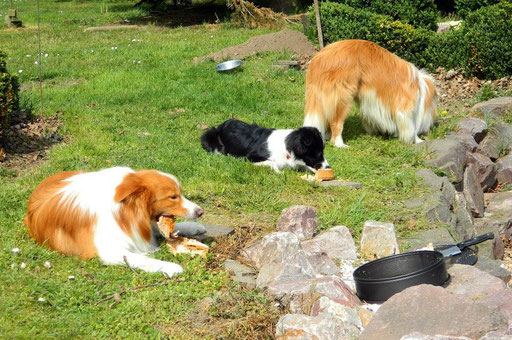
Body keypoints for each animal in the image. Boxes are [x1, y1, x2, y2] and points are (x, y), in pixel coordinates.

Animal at [24, 167, 203, 276]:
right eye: (173, 197)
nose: (200, 212)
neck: (125, 212)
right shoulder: (108, 250)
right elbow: (143, 259)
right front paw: (171, 266)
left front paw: (193, 227)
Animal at [200, 119, 328, 173]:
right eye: (319, 153)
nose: (328, 167)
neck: (288, 146)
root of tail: (222, 125)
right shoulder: (249, 157)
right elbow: (272, 162)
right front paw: (279, 172)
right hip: (208, 135)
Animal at [304, 38, 436, 147]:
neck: (421, 92)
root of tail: (318, 58)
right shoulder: (404, 109)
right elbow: (411, 127)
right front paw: (417, 140)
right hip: (342, 98)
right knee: (336, 123)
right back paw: (339, 144)